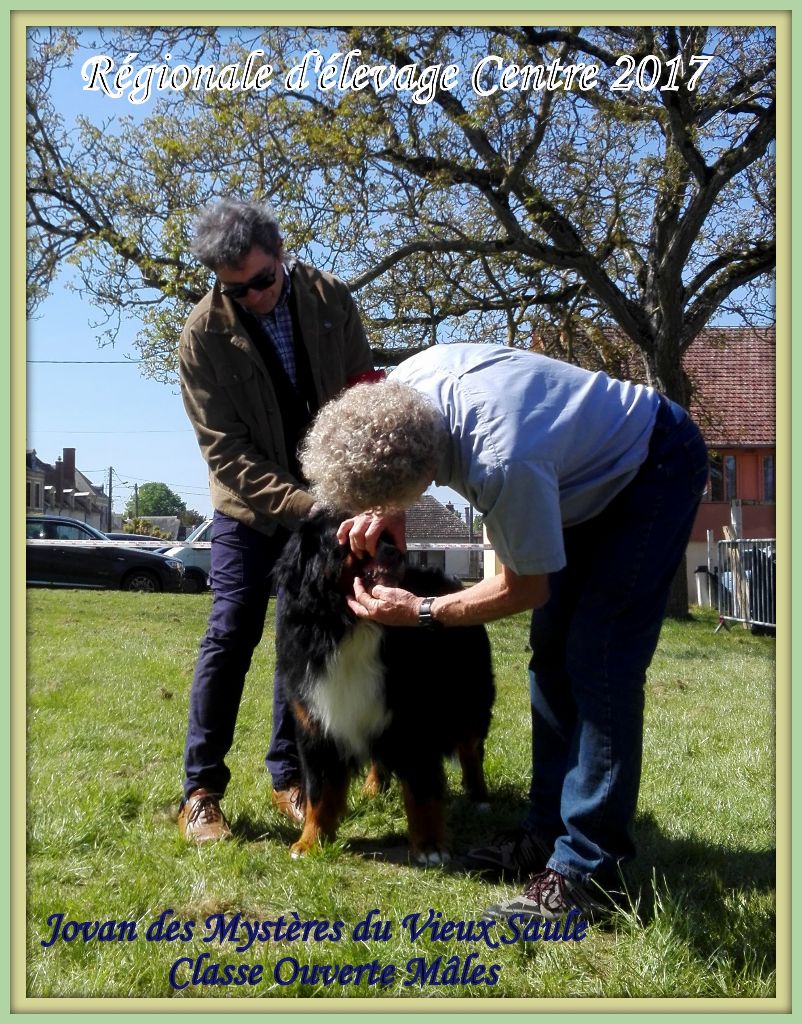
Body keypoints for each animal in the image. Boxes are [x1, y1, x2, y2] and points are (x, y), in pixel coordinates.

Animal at [276, 512, 495, 864]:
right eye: (350, 537)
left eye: (387, 539)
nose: (397, 553)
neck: (347, 625)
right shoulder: (315, 721)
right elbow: (319, 790)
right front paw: (310, 841)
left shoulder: (414, 719)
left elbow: (420, 789)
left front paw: (429, 846)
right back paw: (373, 788)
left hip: (469, 698)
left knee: (470, 749)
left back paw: (479, 798)